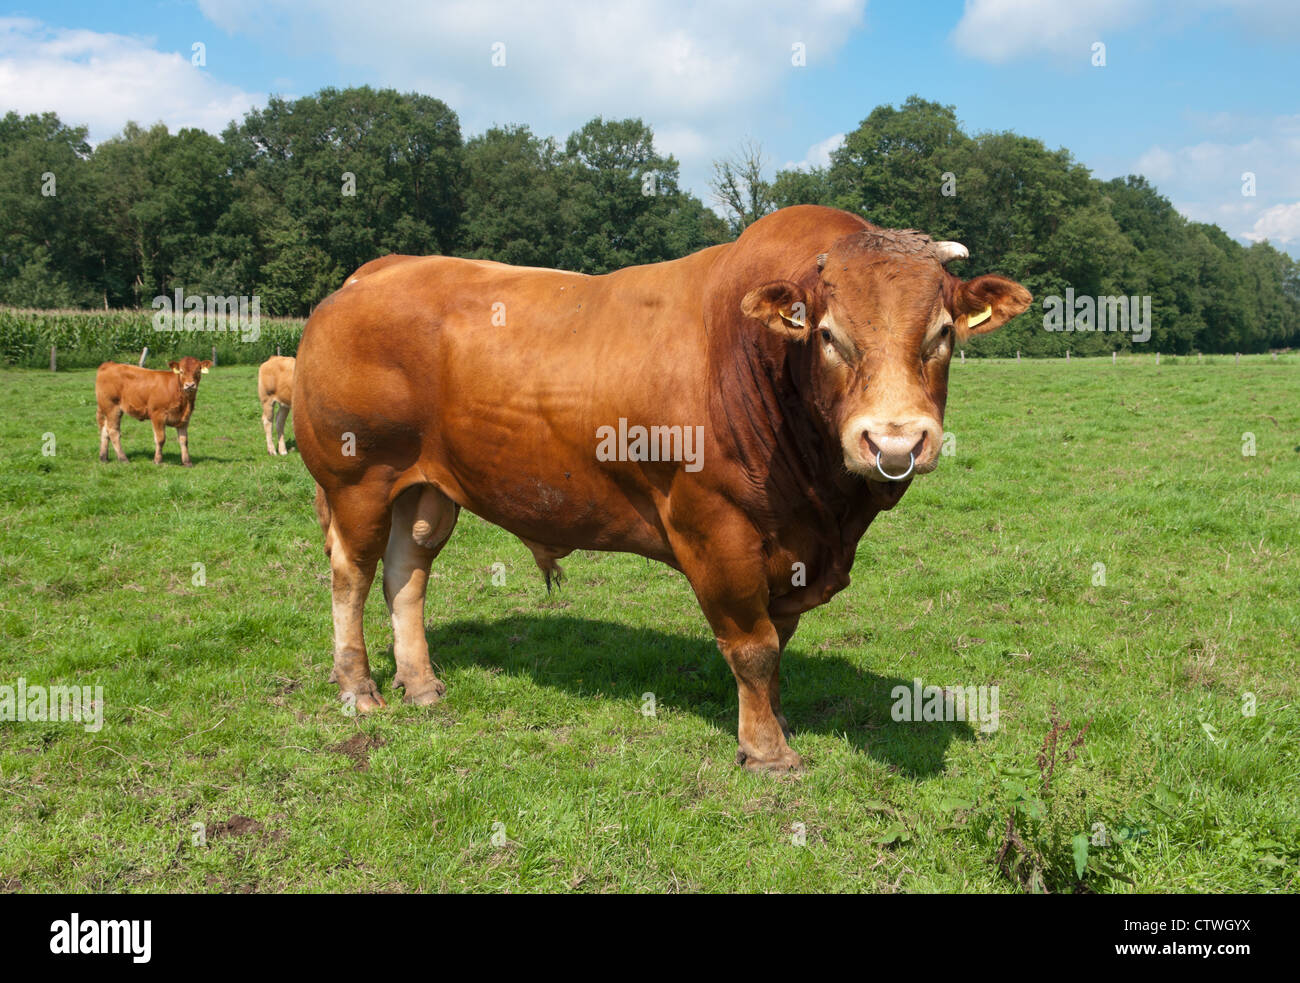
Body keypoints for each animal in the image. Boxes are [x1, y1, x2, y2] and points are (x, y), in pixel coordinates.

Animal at [299, 206, 1029, 769]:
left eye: (942, 334)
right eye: (829, 335)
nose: (895, 442)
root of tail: (375, 271)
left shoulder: (791, 548)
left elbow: (779, 641)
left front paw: (777, 721)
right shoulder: (715, 524)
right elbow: (754, 646)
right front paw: (768, 752)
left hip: (425, 488)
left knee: (407, 572)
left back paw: (421, 683)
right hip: (357, 477)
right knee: (352, 575)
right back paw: (359, 688)